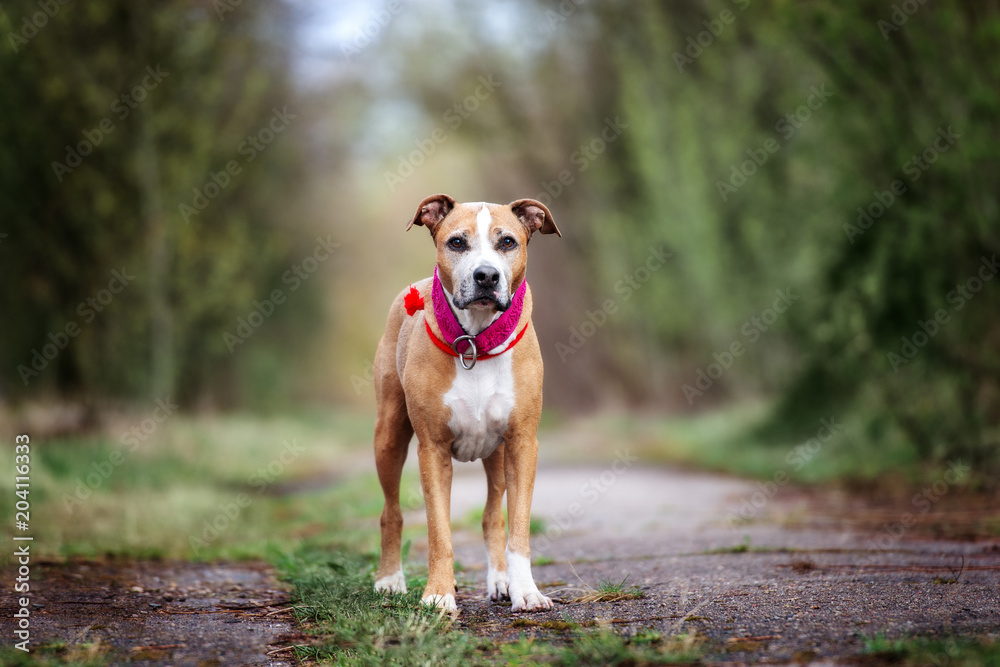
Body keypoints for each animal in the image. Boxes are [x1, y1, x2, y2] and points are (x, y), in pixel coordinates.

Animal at [374, 194, 564, 616]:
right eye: (457, 242)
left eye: (507, 242)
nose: (486, 276)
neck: (475, 341)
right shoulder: (432, 449)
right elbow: (439, 532)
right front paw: (438, 593)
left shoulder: (522, 444)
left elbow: (517, 527)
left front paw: (525, 591)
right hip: (388, 436)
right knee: (391, 512)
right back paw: (389, 580)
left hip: (497, 454)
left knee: (493, 514)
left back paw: (500, 581)